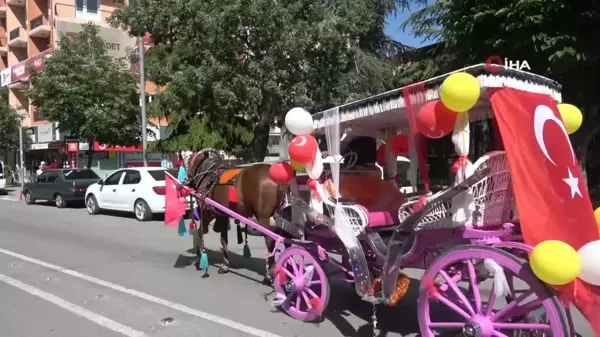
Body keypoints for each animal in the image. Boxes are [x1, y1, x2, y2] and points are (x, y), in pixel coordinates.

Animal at [186, 147, 288, 280]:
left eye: (187, 162)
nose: (187, 181)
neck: (209, 175)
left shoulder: (207, 212)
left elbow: (200, 233)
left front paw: (200, 256)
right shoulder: (222, 215)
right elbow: (223, 239)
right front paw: (224, 264)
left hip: (263, 217)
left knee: (270, 240)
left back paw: (269, 273)